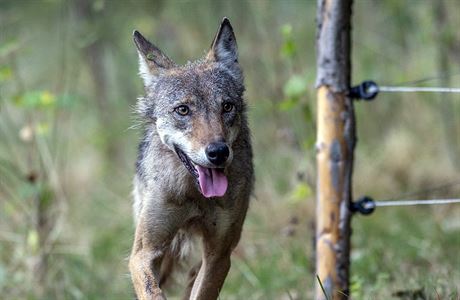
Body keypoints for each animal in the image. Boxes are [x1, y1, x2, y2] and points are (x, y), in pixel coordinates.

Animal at [127, 17, 253, 300]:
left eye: (226, 107)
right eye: (183, 110)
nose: (218, 152)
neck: (193, 195)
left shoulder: (218, 255)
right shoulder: (143, 253)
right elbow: (153, 291)